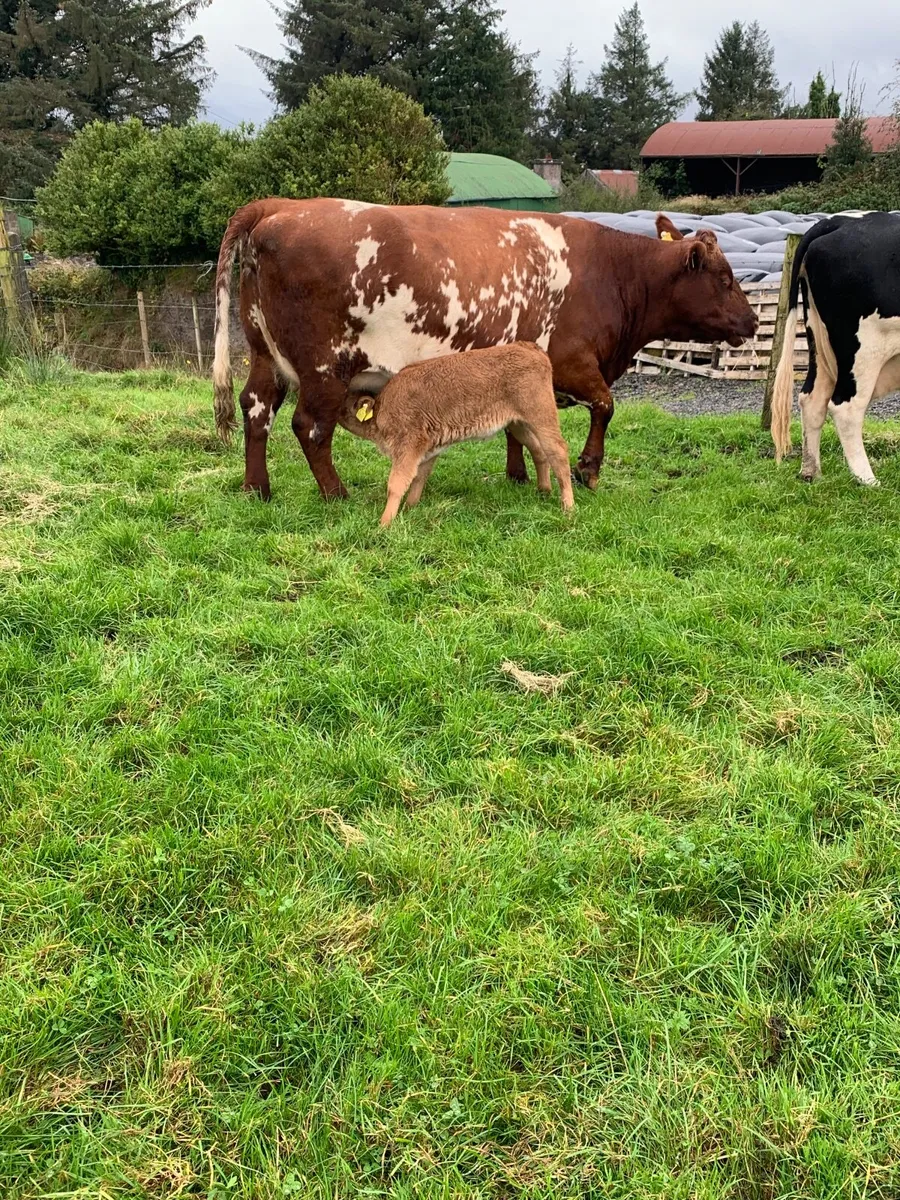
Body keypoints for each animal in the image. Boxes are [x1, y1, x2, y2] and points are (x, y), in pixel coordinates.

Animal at [212, 199, 758, 501]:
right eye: (726, 278)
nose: (753, 321)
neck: (613, 273)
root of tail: (280, 205)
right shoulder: (572, 363)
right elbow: (605, 406)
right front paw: (588, 468)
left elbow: (517, 426)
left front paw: (518, 475)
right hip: (326, 366)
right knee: (309, 426)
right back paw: (335, 493)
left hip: (264, 354)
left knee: (255, 408)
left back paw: (257, 489)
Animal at [341, 342, 574, 525]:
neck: (381, 408)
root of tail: (527, 347)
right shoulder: (427, 448)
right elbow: (419, 478)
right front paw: (410, 508)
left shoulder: (408, 446)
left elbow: (396, 484)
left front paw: (384, 523)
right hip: (519, 424)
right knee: (538, 450)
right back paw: (544, 491)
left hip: (541, 416)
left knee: (558, 452)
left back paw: (568, 507)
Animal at [771, 212, 900, 484]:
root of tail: (838, 220)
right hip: (862, 349)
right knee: (845, 407)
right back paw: (868, 480)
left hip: (818, 341)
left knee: (812, 399)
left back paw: (811, 471)